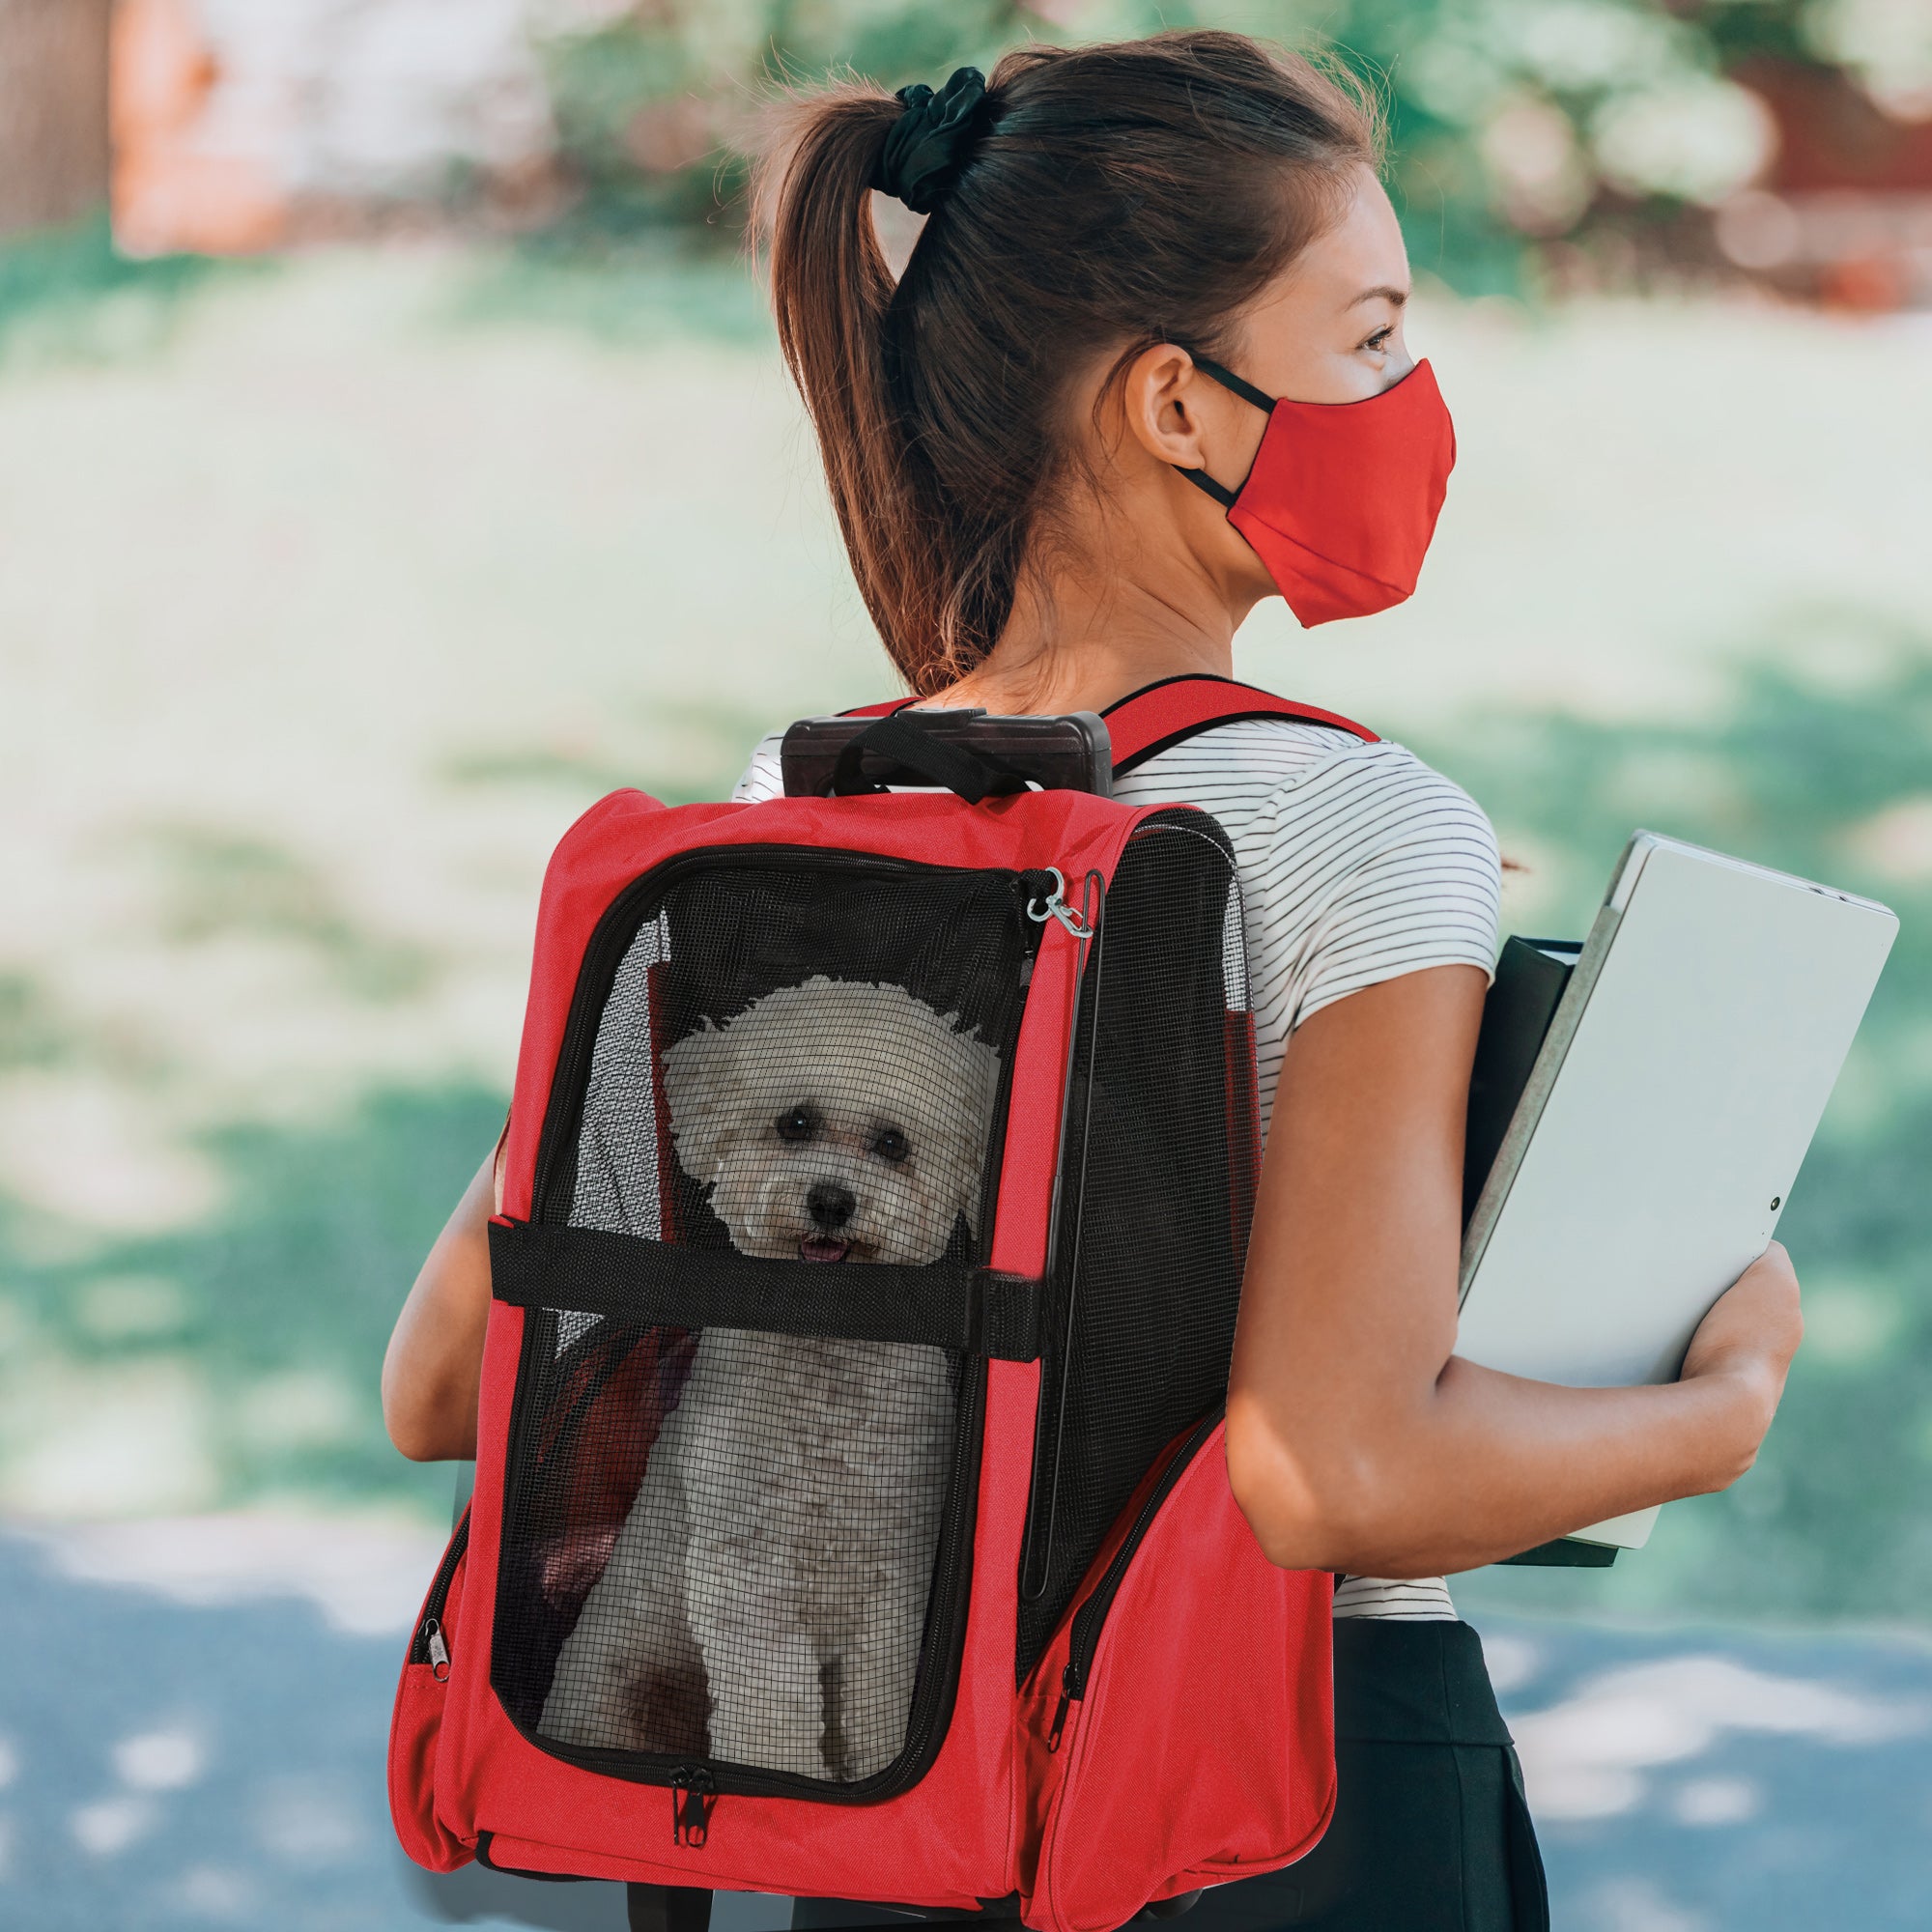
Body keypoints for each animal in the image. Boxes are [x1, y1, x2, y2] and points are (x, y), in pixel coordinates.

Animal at [541, 981, 1005, 1777]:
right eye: (795, 1122)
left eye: (893, 1143)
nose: (831, 1201)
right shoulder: (751, 1577)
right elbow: (775, 1711)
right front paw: (784, 1783)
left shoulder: (893, 1577)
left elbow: (879, 1705)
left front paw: (875, 1773)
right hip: (617, 1688)